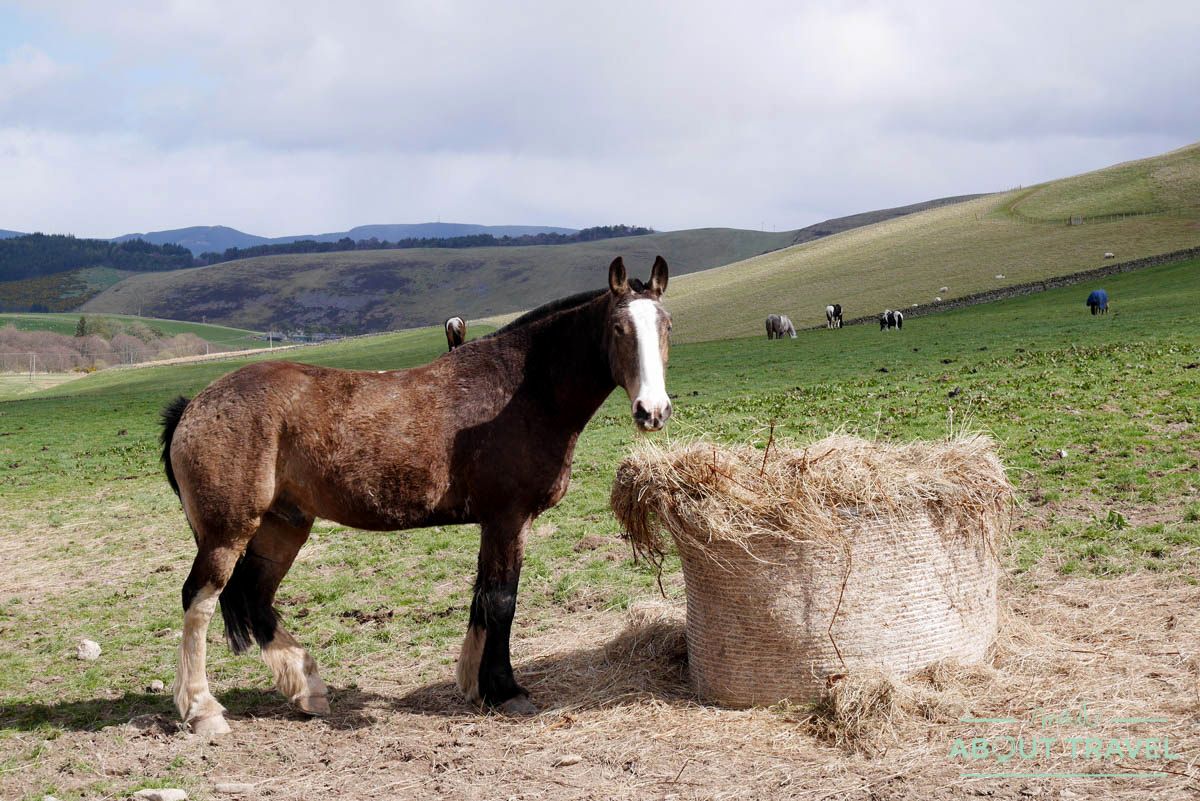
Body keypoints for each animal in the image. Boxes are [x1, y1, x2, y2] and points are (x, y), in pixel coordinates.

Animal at [159, 256, 673, 735]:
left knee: (254, 595)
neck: (521, 391)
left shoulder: (494, 523)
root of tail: (194, 405)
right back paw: (203, 710)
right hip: (227, 532)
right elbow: (501, 600)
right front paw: (505, 690)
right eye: (619, 329)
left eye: (666, 326)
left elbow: (482, 597)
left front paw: (475, 684)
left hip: (284, 525)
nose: (653, 410)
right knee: (199, 600)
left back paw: (308, 690)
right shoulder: (508, 519)